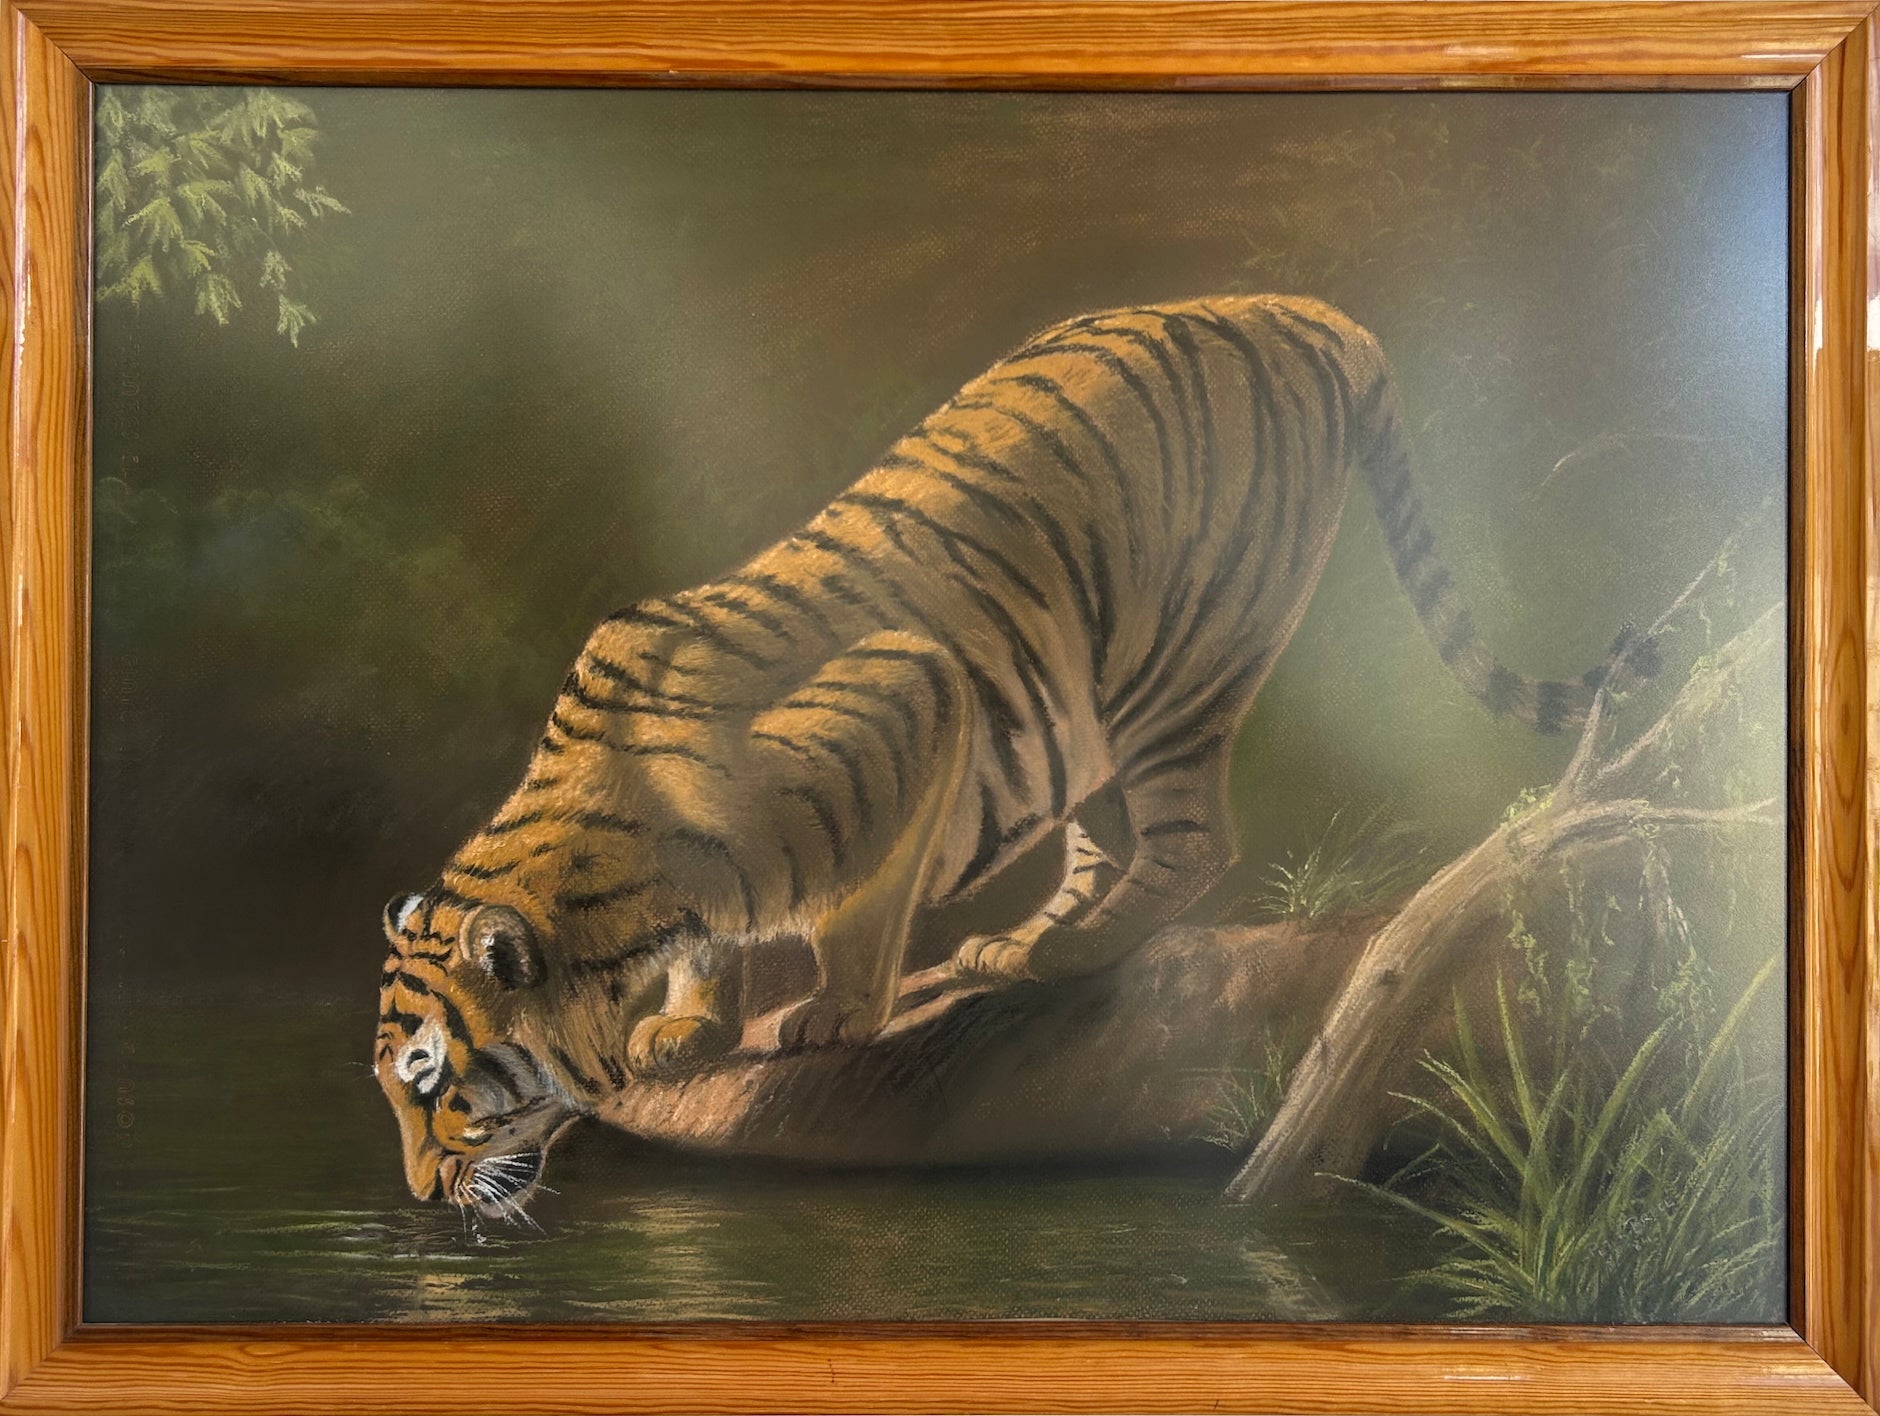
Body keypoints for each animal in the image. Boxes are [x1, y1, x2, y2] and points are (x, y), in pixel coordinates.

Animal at [374, 294, 1654, 1219]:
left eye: (437, 1086)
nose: (422, 1196)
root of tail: (1296, 309)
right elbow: (712, 952)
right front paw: (687, 1026)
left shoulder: (912, 699)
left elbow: (857, 911)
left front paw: (831, 1014)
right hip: (1082, 708)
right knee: (1098, 843)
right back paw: (1019, 946)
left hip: (1177, 670)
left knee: (1193, 844)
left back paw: (1069, 947)